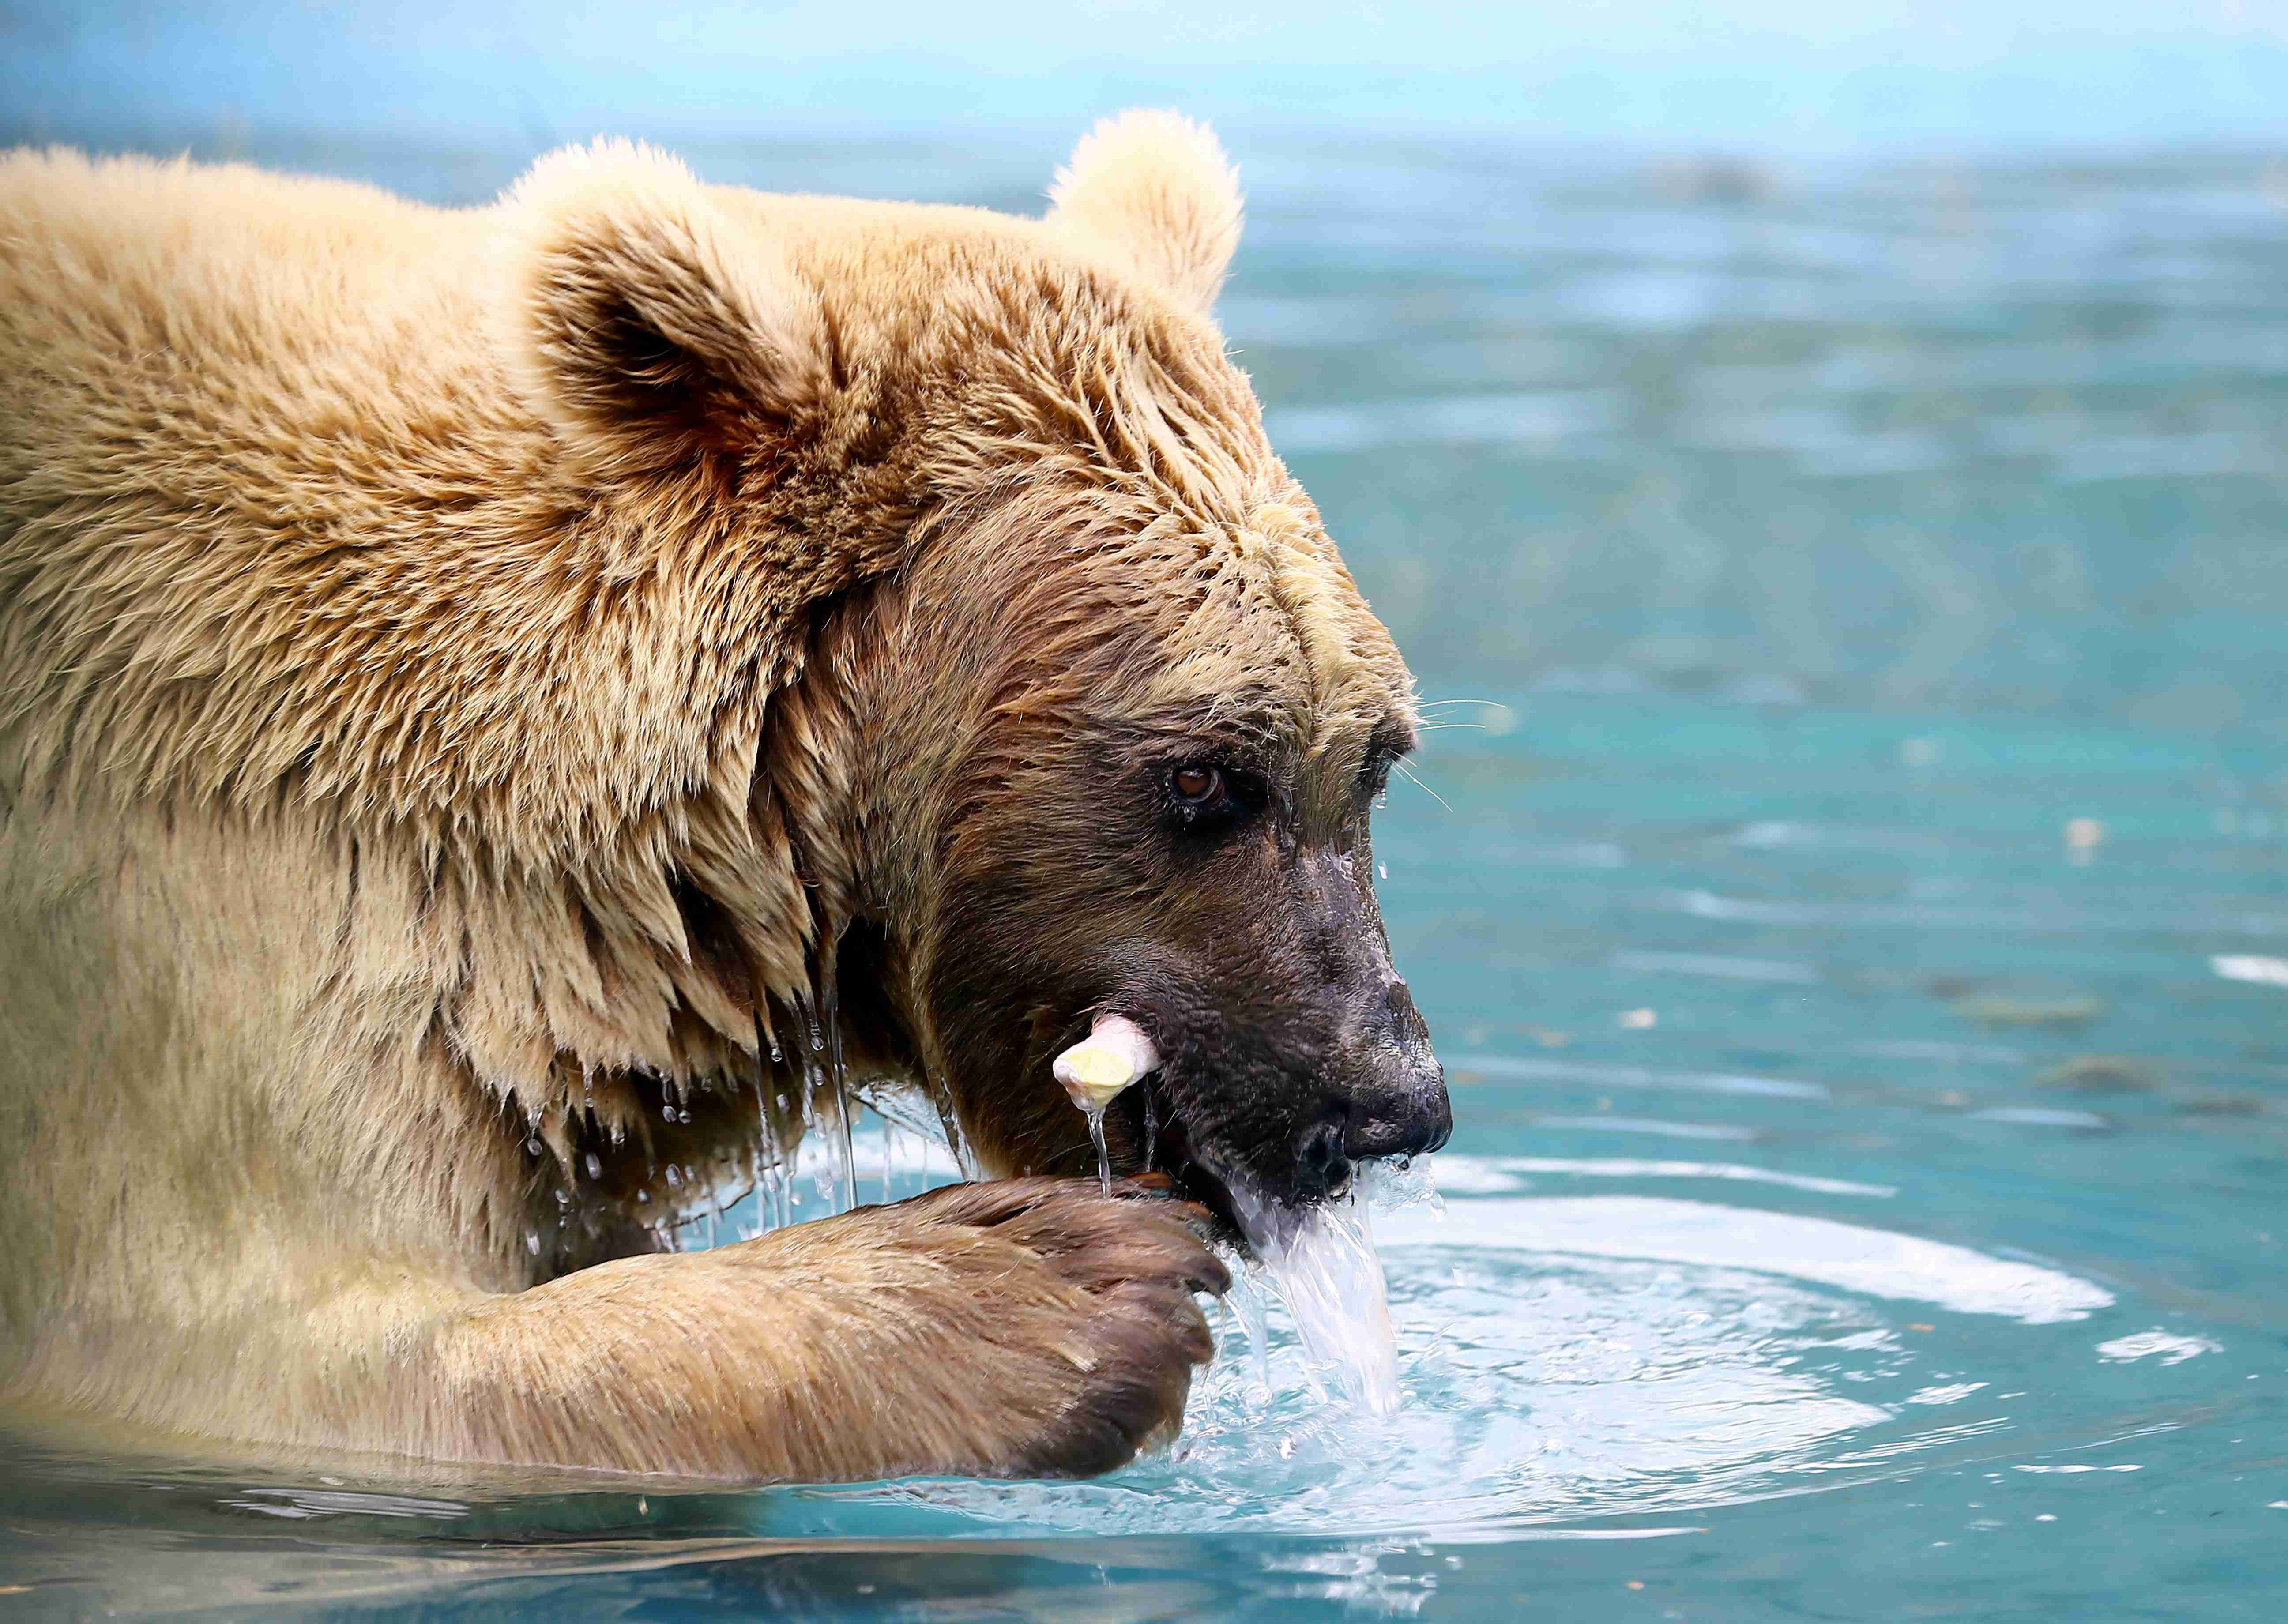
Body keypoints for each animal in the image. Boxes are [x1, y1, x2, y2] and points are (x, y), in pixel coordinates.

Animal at [0, 114, 1446, 1491]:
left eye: (1371, 758)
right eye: (1202, 775)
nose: (1390, 1101)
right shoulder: (218, 923)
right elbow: (269, 1346)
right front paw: (1055, 1281)